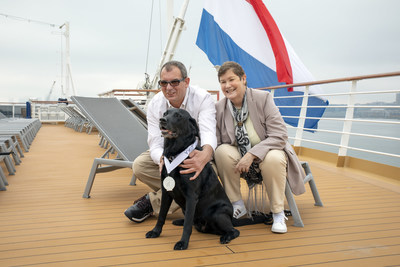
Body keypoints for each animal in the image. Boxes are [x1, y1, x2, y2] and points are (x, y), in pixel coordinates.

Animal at [148, 108, 239, 251]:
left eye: (178, 116)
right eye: (165, 113)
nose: (162, 120)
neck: (174, 155)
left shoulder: (191, 196)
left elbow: (187, 225)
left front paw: (183, 243)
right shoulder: (166, 192)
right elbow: (162, 215)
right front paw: (155, 232)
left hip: (217, 213)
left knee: (234, 230)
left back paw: (226, 237)